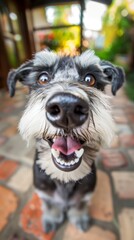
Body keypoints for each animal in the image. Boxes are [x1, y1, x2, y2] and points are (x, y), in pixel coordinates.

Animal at [7, 49, 124, 233]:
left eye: (90, 79)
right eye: (43, 78)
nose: (67, 107)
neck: (64, 179)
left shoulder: (85, 195)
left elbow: (79, 205)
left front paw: (79, 218)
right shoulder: (44, 193)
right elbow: (50, 205)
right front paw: (51, 219)